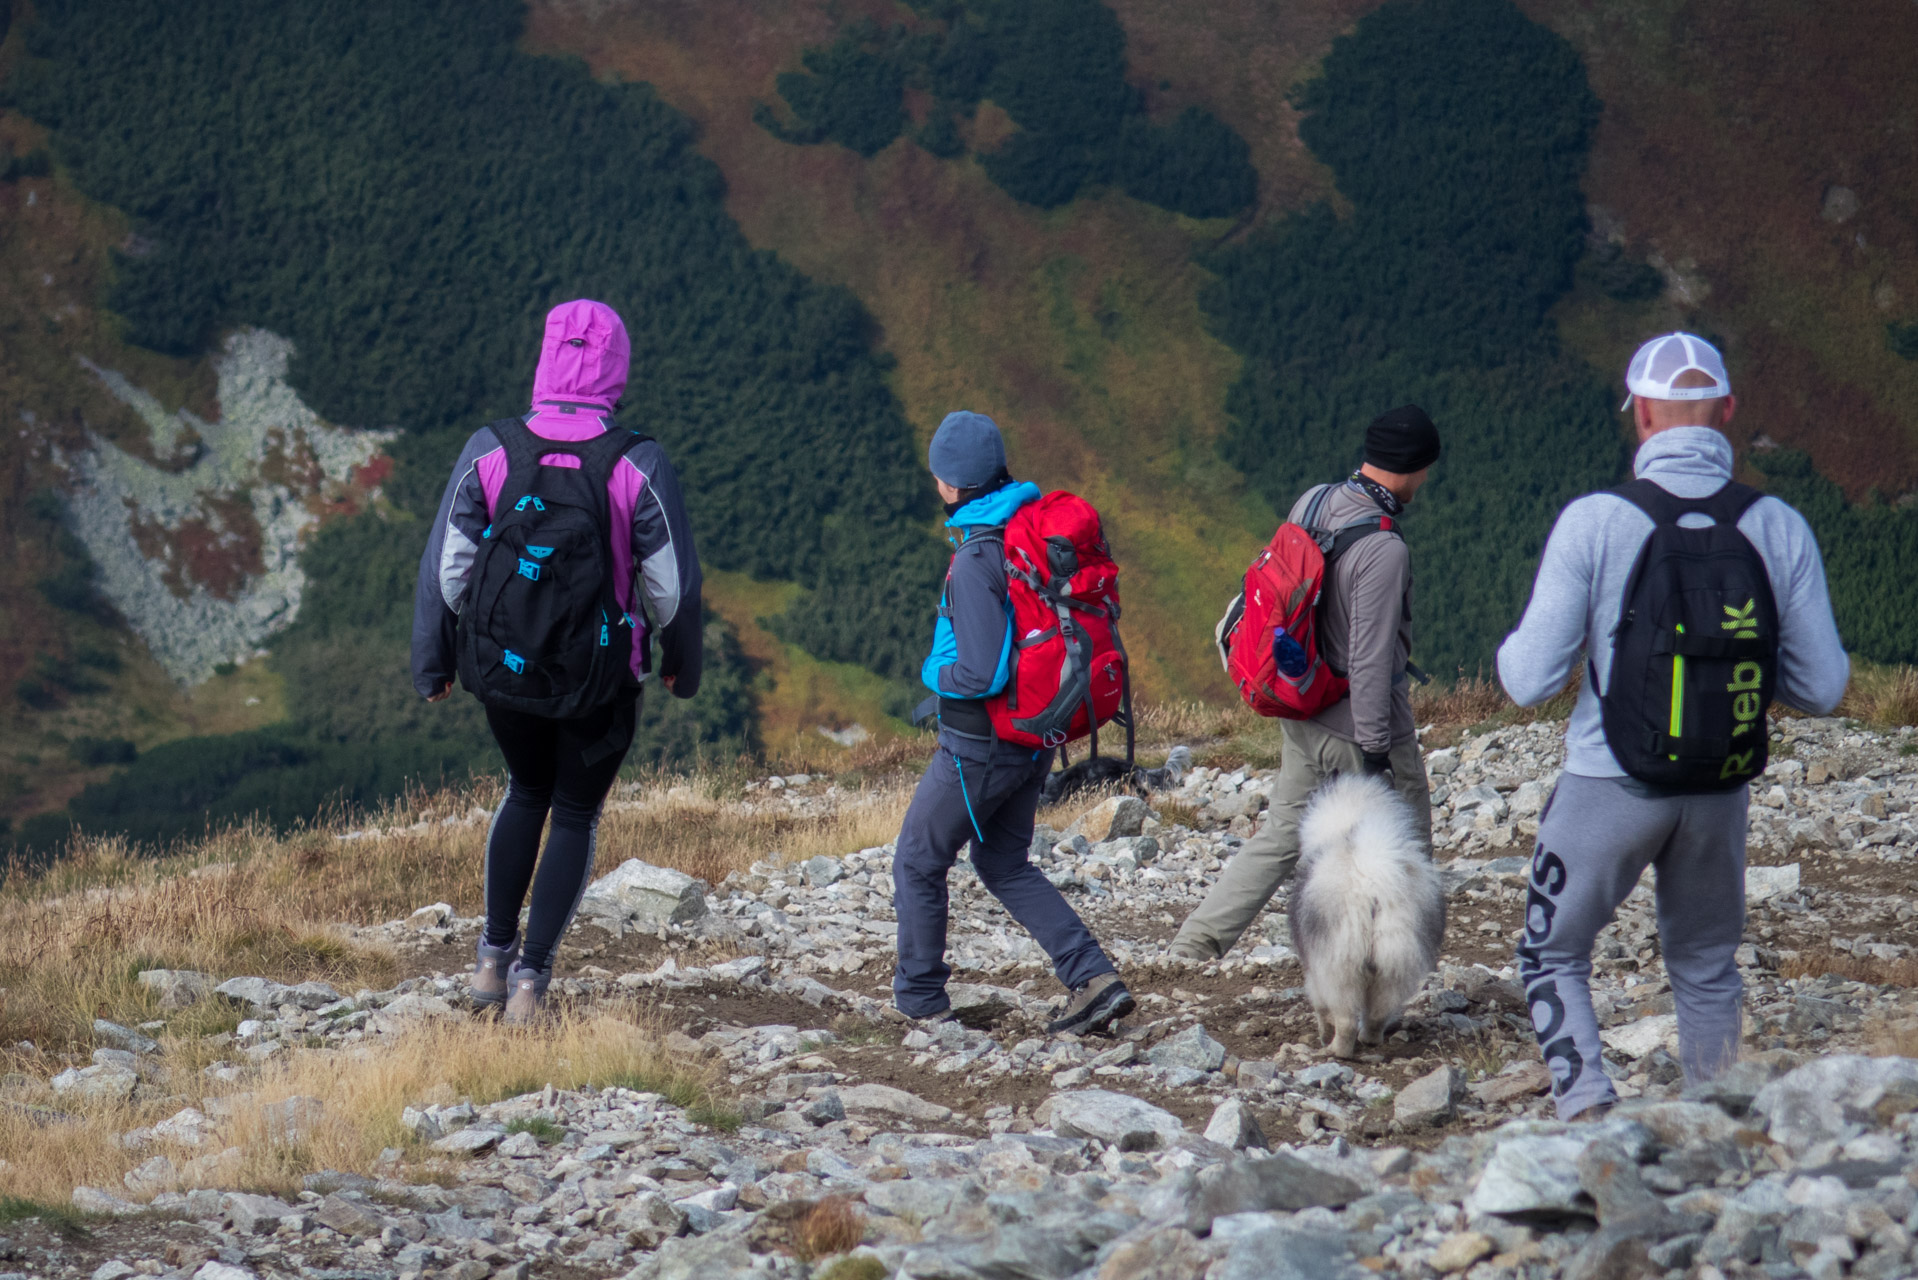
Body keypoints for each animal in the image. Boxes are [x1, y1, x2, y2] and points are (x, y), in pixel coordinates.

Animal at [1288, 771, 1442, 1059]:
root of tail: (1372, 881)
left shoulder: (1314, 970)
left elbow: (1320, 1006)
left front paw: (1323, 1035)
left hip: (1340, 967)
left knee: (1346, 1019)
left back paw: (1334, 1050)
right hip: (1395, 963)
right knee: (1379, 1013)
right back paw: (1370, 1039)